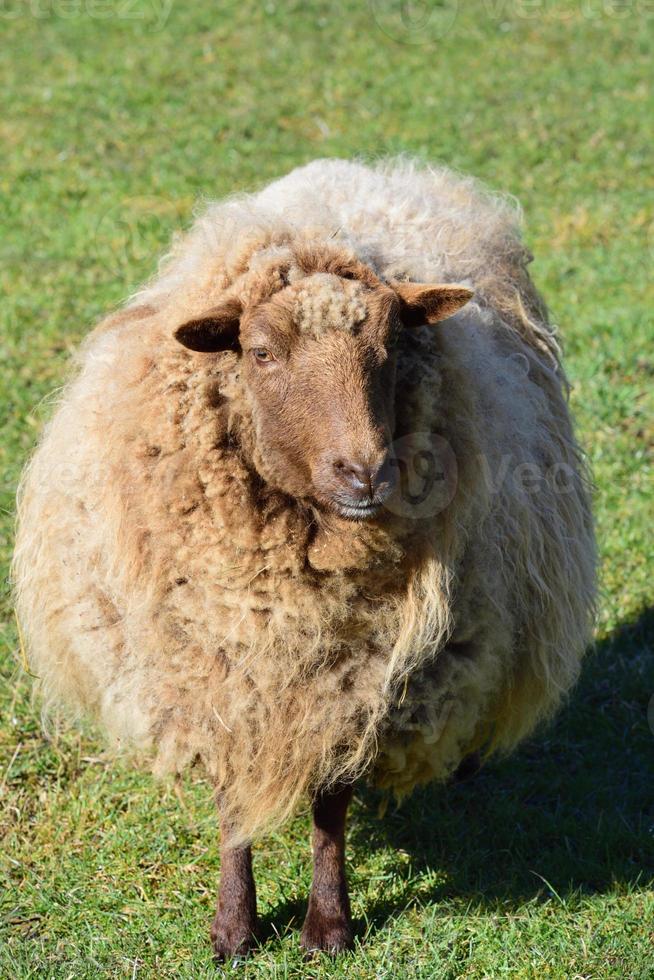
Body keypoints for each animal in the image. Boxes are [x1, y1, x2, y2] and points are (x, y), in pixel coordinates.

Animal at [14, 159, 600, 956]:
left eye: (393, 348)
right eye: (261, 353)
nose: (366, 473)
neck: (291, 595)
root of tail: (375, 171)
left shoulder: (356, 680)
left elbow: (330, 807)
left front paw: (328, 925)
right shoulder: (219, 672)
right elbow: (233, 803)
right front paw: (234, 927)